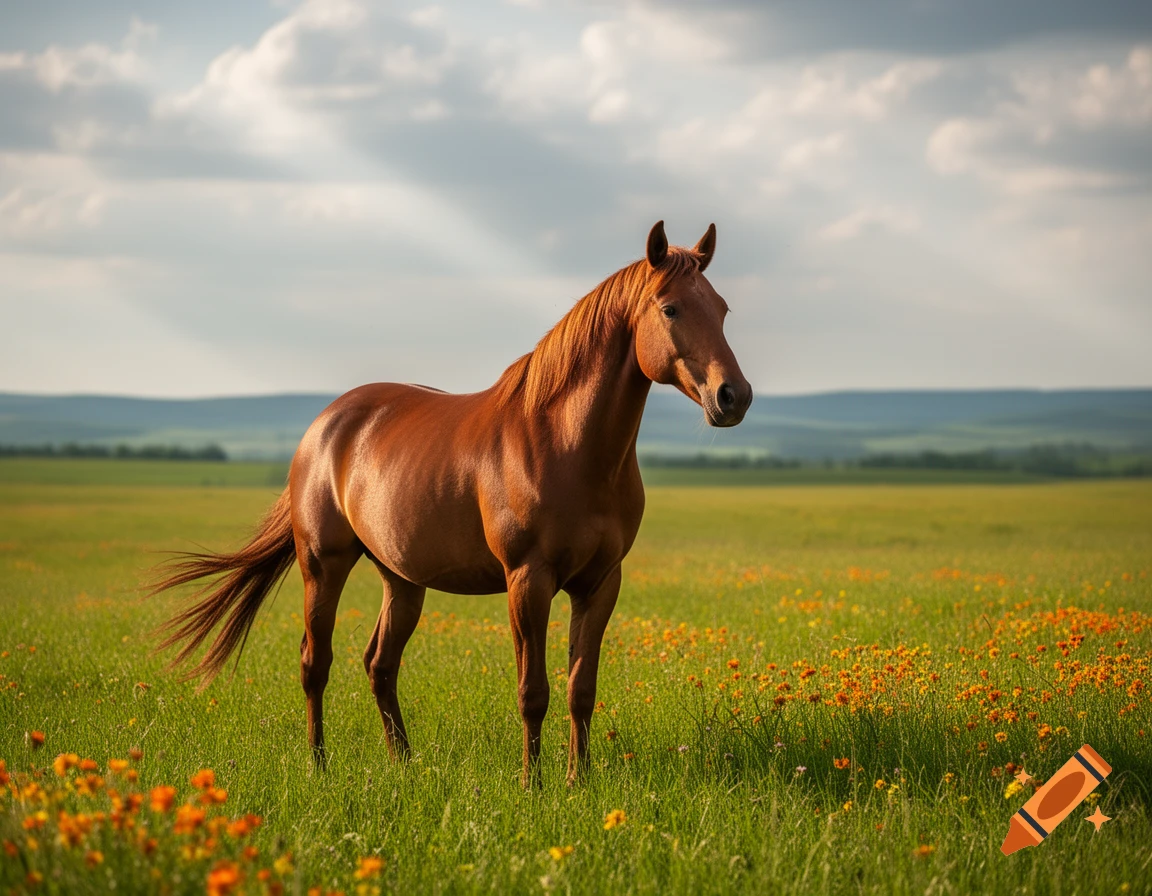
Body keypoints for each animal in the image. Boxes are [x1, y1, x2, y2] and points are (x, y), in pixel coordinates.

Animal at [151, 221, 753, 787]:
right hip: (322, 566)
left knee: (380, 664)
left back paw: (403, 763)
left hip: (401, 579)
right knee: (314, 663)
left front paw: (577, 782)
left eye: (722, 309)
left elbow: (581, 688)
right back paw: (318, 766)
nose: (734, 397)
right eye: (670, 308)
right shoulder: (527, 580)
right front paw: (533, 787)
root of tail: (324, 426)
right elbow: (533, 691)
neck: (566, 444)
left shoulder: (601, 583)